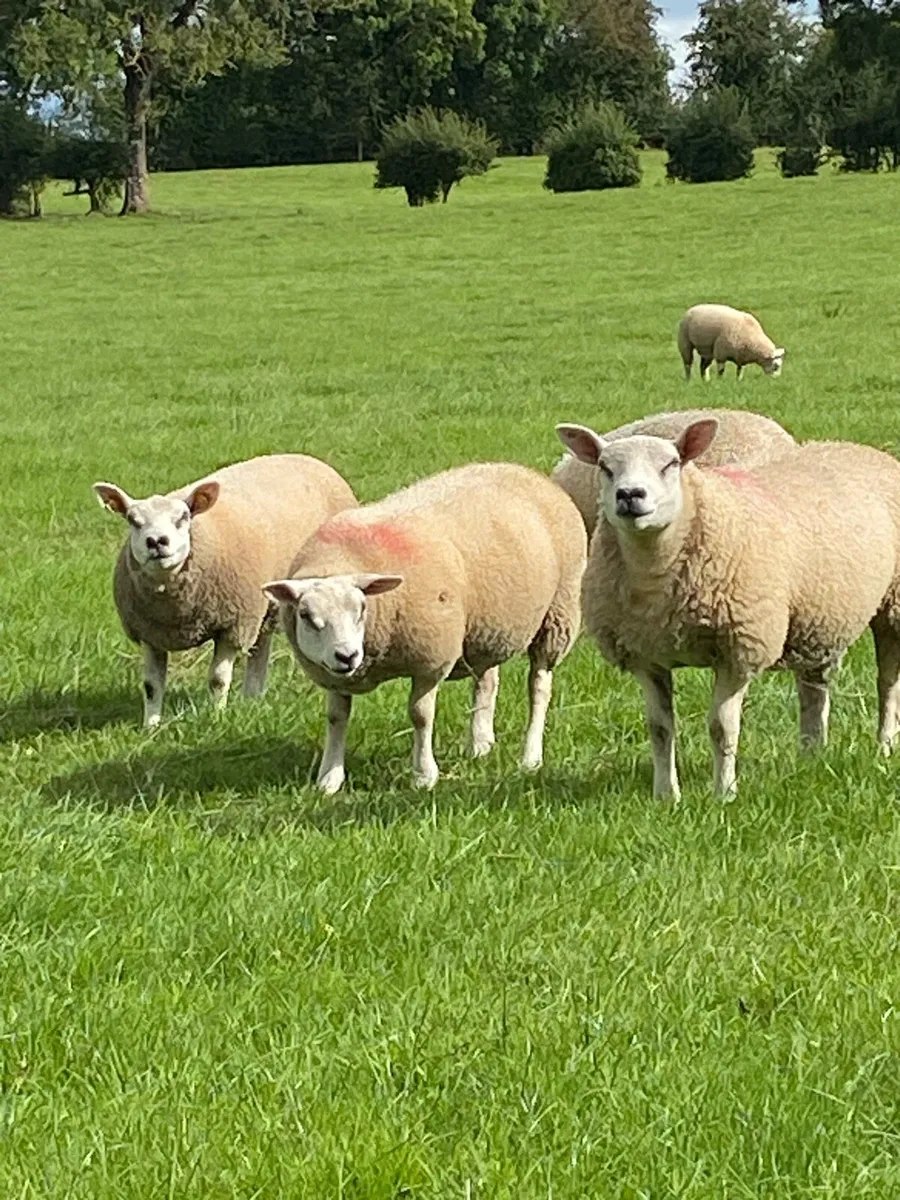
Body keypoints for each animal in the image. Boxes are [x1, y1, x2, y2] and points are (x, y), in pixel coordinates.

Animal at [94, 454, 357, 728]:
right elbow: (151, 686)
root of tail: (308, 458)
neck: (175, 608)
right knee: (260, 648)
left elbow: (218, 680)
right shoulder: (150, 633)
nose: (156, 541)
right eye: (133, 520)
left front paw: (216, 717)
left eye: (183, 517)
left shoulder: (233, 626)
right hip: (264, 607)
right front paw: (151, 726)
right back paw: (252, 698)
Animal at [263, 463, 587, 794]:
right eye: (305, 615)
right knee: (486, 682)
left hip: (558, 614)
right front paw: (329, 779)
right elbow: (336, 718)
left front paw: (423, 776)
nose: (347, 656)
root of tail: (526, 471)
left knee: (539, 687)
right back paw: (480, 745)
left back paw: (530, 757)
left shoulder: (430, 662)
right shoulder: (335, 677)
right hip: (488, 628)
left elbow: (420, 716)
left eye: (362, 609)